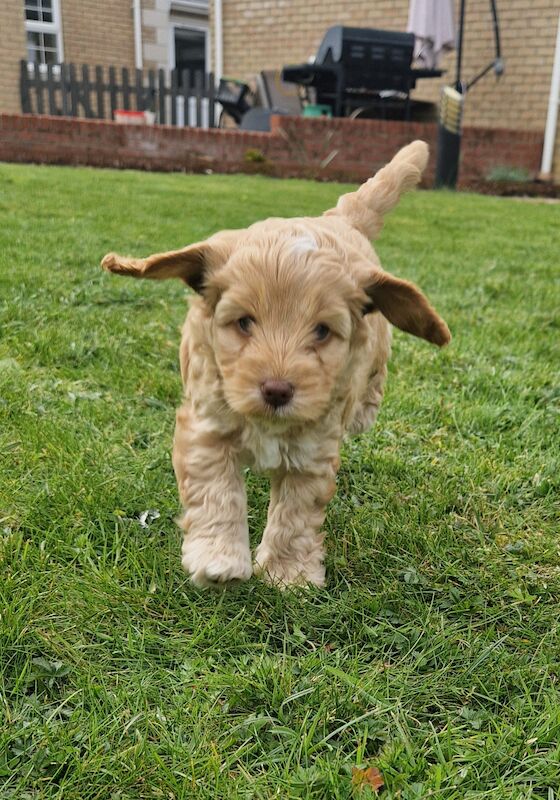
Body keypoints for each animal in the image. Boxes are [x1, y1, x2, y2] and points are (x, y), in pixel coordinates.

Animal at [100, 139, 450, 588]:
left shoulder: (313, 447)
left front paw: (289, 573)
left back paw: (363, 411)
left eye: (322, 331)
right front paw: (219, 558)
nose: (277, 390)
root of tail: (339, 219)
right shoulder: (206, 423)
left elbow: (296, 513)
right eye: (244, 322)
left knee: (374, 380)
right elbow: (216, 488)